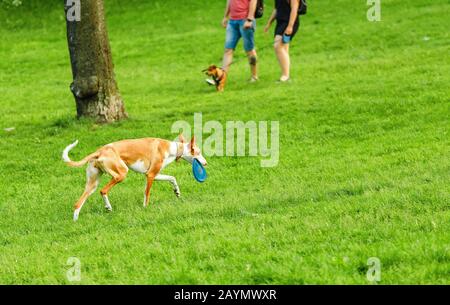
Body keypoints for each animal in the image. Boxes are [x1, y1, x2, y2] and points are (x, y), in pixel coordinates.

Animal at [62, 134, 207, 220]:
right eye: (199, 152)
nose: (206, 163)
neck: (172, 148)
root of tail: (99, 151)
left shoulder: (155, 175)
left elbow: (172, 178)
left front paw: (177, 191)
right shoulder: (150, 175)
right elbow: (146, 194)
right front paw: (145, 208)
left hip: (92, 184)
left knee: (78, 203)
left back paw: (76, 221)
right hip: (121, 173)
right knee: (103, 190)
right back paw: (108, 207)